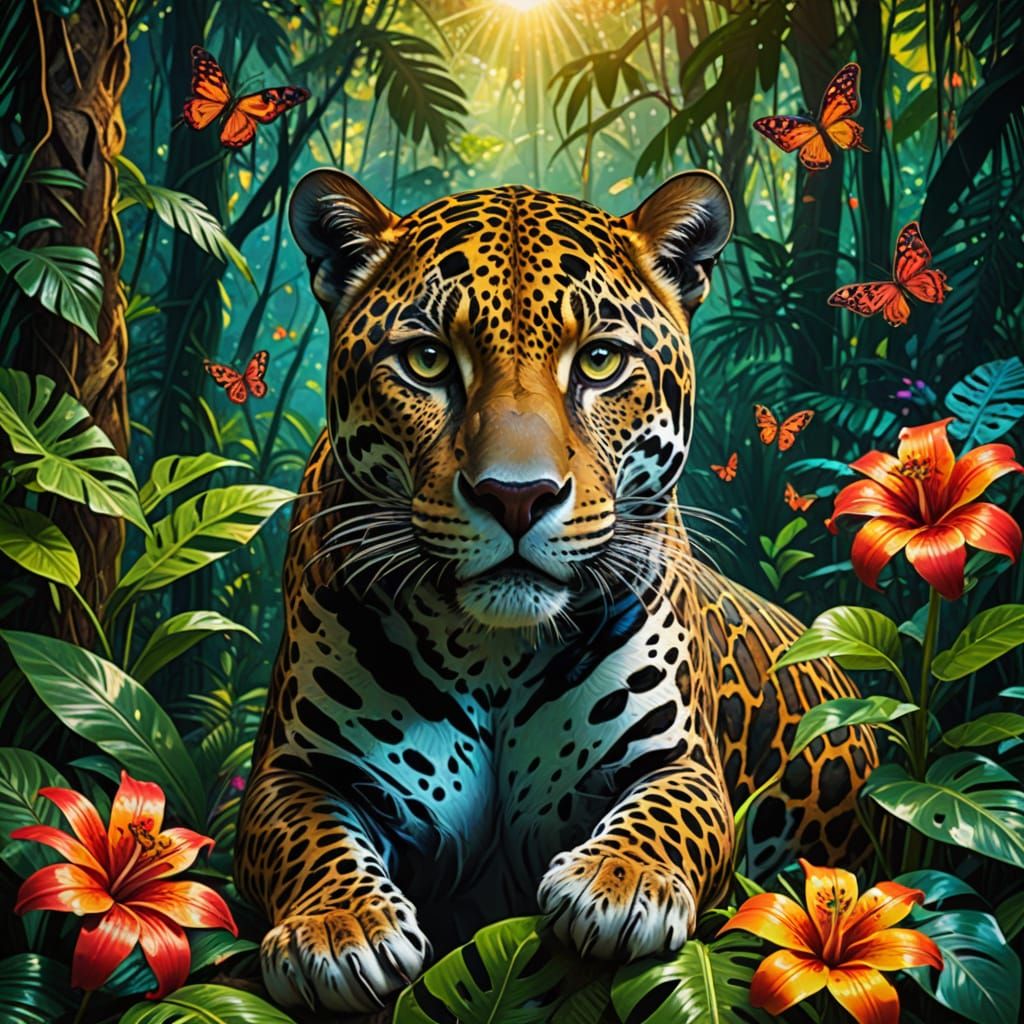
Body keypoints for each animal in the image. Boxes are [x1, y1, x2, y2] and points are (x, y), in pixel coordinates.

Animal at [235, 167, 876, 1015]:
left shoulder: (679, 760)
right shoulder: (295, 770)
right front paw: (339, 930)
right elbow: (307, 839)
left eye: (600, 361)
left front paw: (619, 883)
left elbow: (667, 812)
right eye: (428, 361)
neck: (489, 651)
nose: (516, 496)